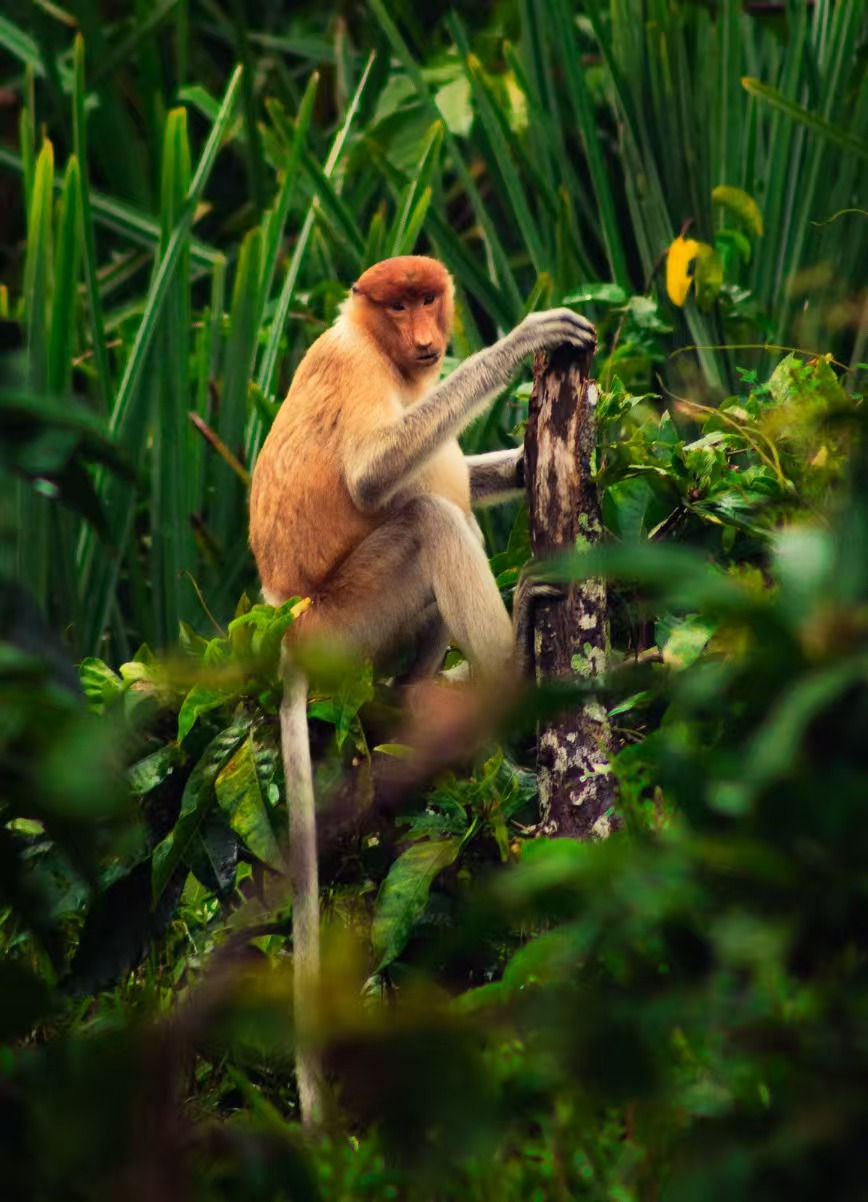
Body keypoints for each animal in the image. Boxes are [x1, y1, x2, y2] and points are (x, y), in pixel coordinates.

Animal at [249, 255, 595, 1122]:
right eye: (397, 305)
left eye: (428, 299)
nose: (425, 337)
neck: (375, 343)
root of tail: (286, 621)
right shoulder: (357, 369)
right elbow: (375, 478)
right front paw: (529, 337)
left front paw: (524, 463)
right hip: (348, 617)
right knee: (428, 517)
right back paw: (510, 662)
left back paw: (424, 690)